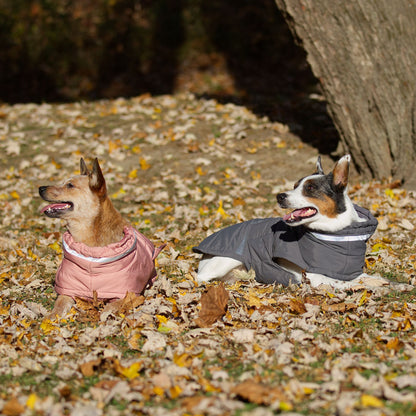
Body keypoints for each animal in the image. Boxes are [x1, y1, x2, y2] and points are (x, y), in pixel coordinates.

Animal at [195, 154, 386, 288]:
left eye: (310, 188)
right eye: (295, 186)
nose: (279, 196)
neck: (338, 233)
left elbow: (365, 278)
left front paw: (383, 283)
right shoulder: (316, 276)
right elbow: (349, 284)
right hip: (227, 259)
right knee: (199, 277)